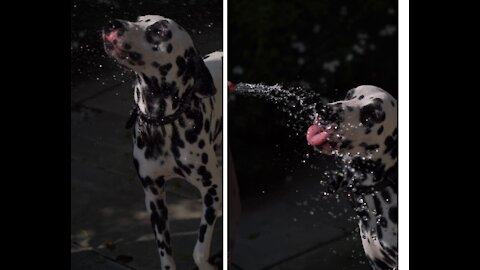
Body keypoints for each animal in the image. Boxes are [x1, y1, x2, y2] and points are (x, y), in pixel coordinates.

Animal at [103, 15, 223, 270]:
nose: (112, 24)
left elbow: (199, 252)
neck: (163, 123)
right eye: (138, 19)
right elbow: (165, 253)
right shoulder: (154, 198)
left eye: (159, 31)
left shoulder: (213, 191)